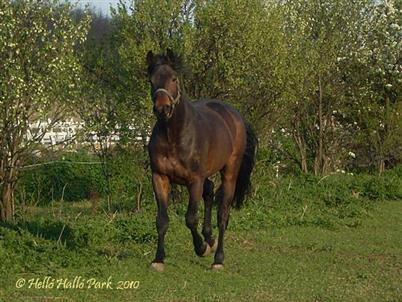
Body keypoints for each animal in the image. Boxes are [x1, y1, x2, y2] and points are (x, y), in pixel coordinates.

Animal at [146, 49, 256, 272]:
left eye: (174, 78)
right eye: (151, 81)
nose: (163, 109)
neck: (174, 135)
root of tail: (236, 115)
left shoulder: (194, 180)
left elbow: (190, 218)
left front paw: (201, 248)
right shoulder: (159, 177)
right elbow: (162, 220)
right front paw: (158, 259)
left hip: (230, 172)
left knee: (223, 213)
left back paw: (218, 258)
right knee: (210, 191)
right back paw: (210, 239)